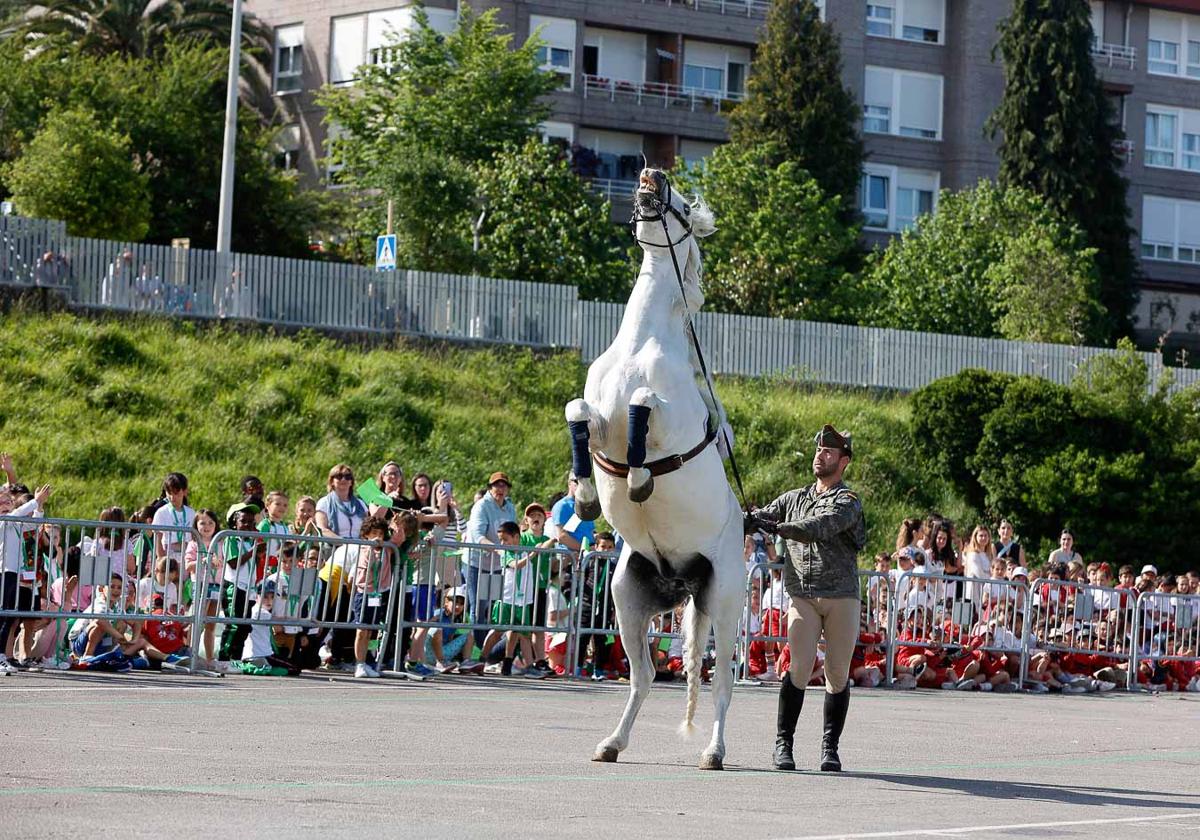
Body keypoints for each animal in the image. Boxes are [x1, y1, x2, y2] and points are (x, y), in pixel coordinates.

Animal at [564, 166, 744, 772]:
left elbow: (644, 409)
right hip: (627, 598)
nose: (652, 175)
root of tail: (681, 578)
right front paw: (585, 492)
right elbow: (577, 413)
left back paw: (714, 752)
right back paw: (611, 744)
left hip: (726, 602)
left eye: (683, 206)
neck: (642, 344)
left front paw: (640, 479)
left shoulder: (665, 418)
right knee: (642, 678)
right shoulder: (597, 413)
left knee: (721, 683)